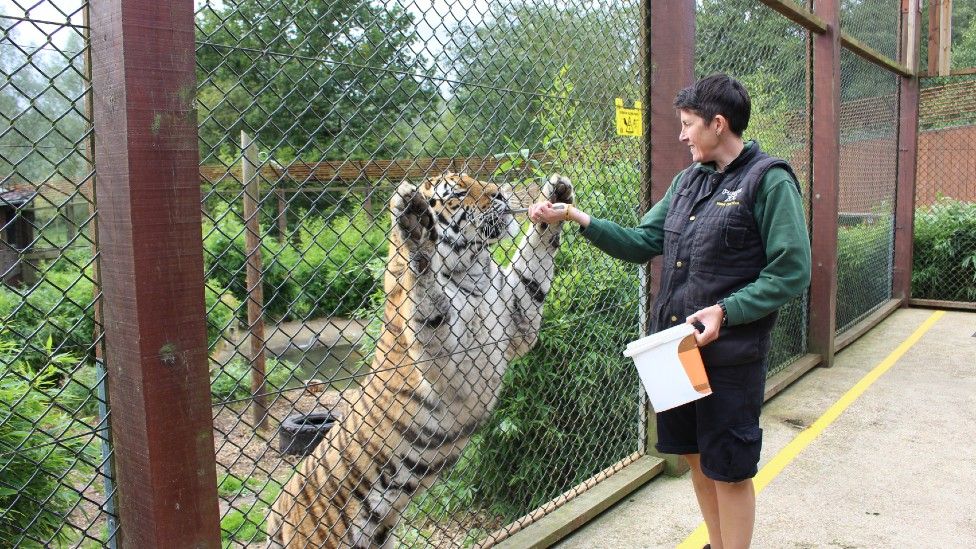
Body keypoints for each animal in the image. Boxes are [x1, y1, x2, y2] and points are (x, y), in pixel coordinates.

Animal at [264, 172, 572, 548]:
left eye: (475, 180)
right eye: (458, 193)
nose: (499, 192)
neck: (473, 270)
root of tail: (278, 512)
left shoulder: (517, 323)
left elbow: (532, 268)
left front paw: (555, 198)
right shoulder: (444, 356)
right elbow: (426, 289)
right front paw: (414, 223)